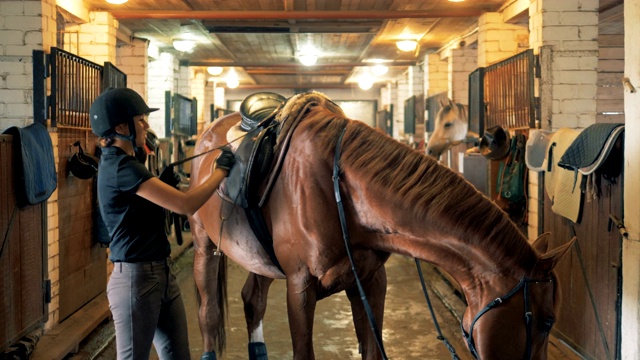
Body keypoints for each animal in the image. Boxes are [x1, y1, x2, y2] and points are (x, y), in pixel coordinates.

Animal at [189, 93, 576, 360]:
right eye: (546, 321)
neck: (337, 187)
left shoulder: (371, 281)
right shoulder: (300, 288)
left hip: (260, 259)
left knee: (252, 300)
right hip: (204, 243)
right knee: (208, 313)